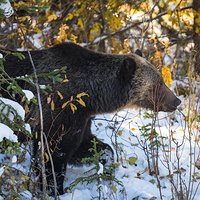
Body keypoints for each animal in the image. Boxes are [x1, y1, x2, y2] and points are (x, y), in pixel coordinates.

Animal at [0, 43, 181, 195]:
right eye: (158, 84)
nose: (176, 101)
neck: (91, 96)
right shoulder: (57, 112)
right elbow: (52, 155)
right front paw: (55, 189)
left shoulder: (81, 119)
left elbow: (87, 146)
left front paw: (107, 166)